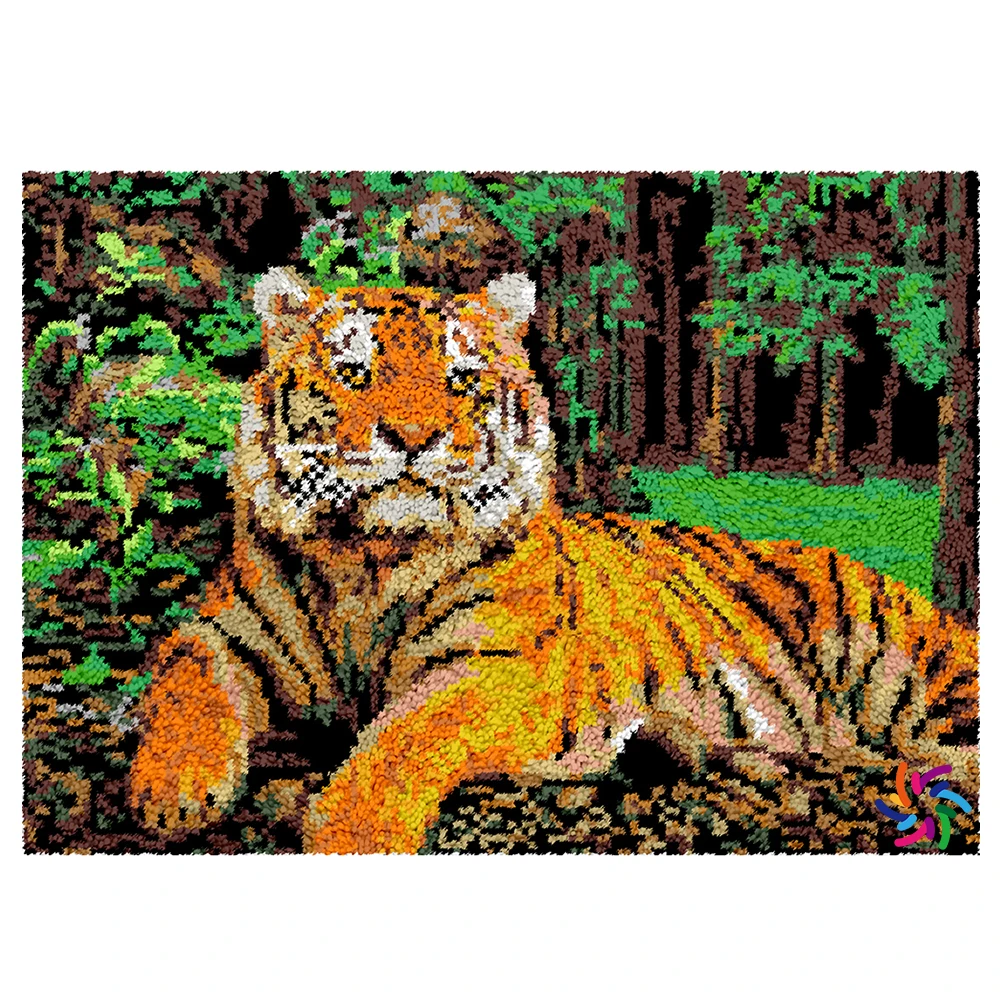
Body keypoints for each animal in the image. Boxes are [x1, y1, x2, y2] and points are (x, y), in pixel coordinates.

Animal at [128, 265, 979, 853]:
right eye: (354, 372)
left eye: (461, 379)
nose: (412, 438)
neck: (369, 556)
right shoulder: (219, 634)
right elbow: (183, 688)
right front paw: (174, 791)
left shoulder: (496, 668)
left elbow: (406, 738)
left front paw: (350, 830)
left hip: (920, 667)